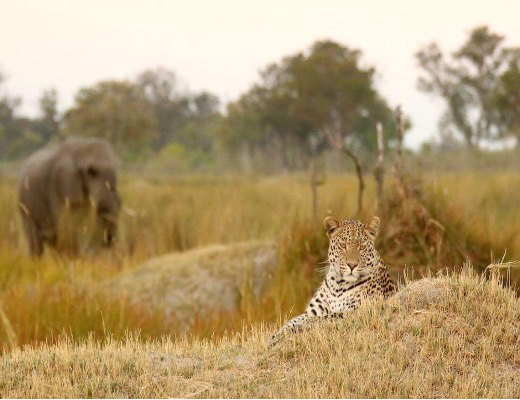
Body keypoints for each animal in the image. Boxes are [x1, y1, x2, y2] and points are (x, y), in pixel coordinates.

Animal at [270, 216, 396, 346]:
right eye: (343, 245)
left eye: (361, 247)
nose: (352, 265)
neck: (338, 285)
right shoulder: (312, 311)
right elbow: (291, 321)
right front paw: (274, 337)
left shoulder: (356, 310)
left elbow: (323, 318)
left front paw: (300, 328)